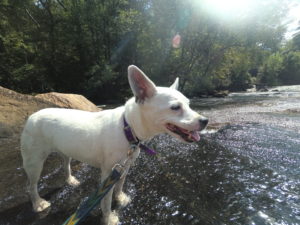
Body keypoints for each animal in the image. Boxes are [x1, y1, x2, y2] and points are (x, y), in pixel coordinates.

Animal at [21, 64, 207, 223]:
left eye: (189, 104)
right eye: (175, 107)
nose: (205, 120)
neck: (128, 127)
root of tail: (32, 115)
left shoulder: (124, 167)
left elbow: (119, 186)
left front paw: (121, 198)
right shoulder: (108, 173)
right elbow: (106, 202)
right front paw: (109, 218)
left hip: (65, 149)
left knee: (65, 163)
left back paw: (70, 180)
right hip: (34, 161)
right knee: (31, 185)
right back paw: (38, 203)